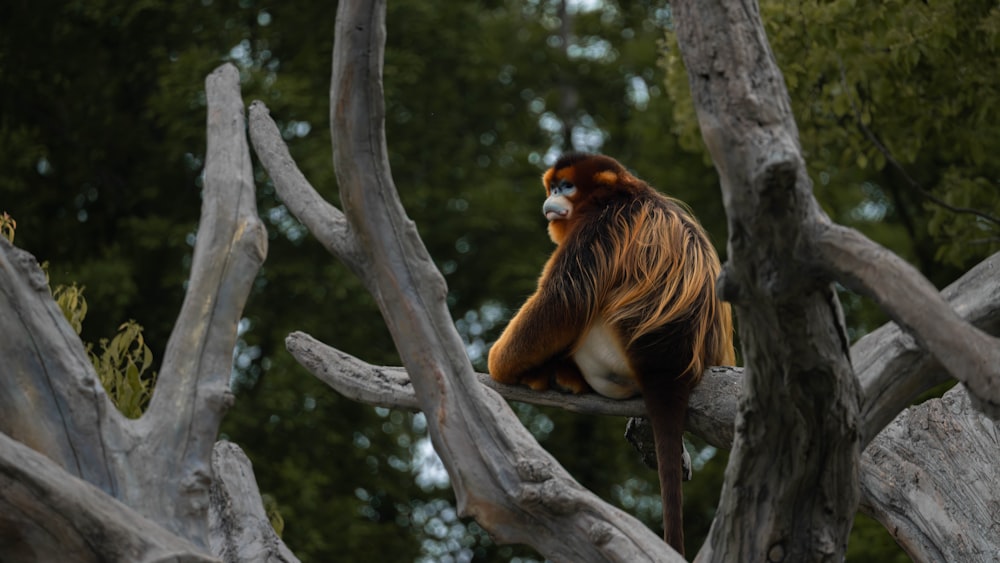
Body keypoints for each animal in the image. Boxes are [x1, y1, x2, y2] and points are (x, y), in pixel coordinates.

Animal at [486, 152, 736, 556]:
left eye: (566, 186)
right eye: (552, 187)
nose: (553, 197)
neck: (624, 193)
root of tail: (671, 367)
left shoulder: (601, 225)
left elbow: (562, 300)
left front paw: (499, 364)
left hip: (611, 354)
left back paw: (558, 375)